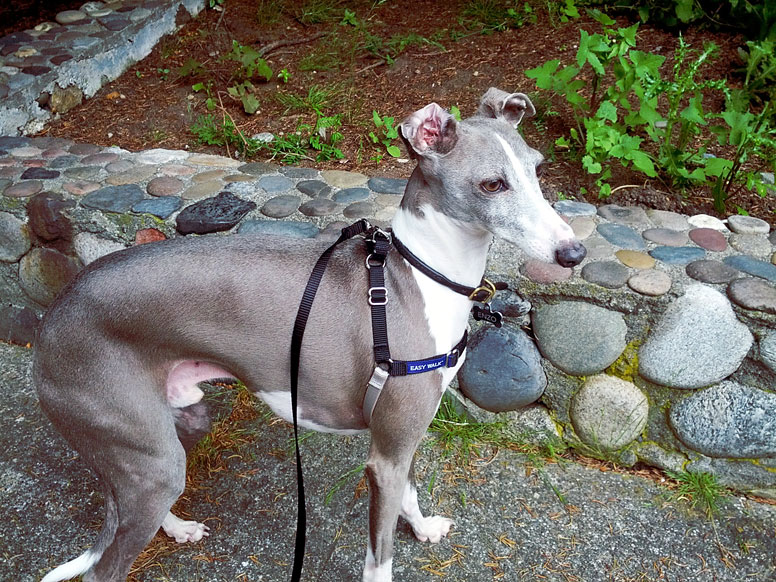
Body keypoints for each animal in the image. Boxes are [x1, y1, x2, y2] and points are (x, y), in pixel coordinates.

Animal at [33, 88, 584, 582]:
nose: (573, 253)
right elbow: (379, 559)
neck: (417, 276)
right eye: (492, 184)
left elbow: (410, 493)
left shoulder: (403, 441)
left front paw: (424, 528)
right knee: (104, 566)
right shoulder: (384, 459)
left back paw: (179, 528)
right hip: (142, 448)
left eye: (536, 169)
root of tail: (55, 314)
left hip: (172, 431)